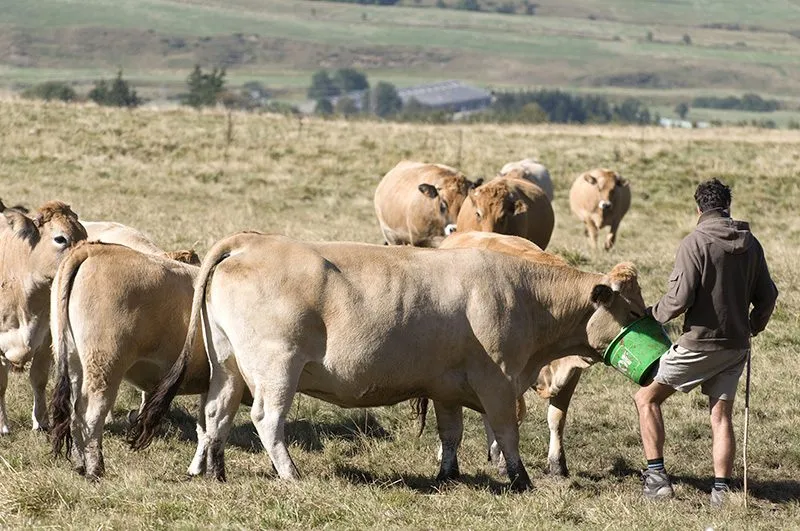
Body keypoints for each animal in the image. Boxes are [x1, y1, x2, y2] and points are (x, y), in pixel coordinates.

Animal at [0, 199, 87, 435]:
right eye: (60, 238)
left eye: (84, 234)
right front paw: (2, 425)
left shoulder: (47, 336)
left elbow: (38, 378)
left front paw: (40, 421)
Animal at [48, 242, 214, 479]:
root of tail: (91, 249)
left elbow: (206, 427)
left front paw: (198, 468)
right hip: (105, 365)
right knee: (90, 415)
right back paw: (95, 469)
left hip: (73, 360)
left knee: (73, 413)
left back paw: (80, 465)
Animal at [129, 232, 646, 491]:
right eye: (637, 313)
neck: (523, 294)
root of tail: (249, 243)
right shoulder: (499, 382)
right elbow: (506, 433)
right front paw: (521, 480)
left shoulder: (446, 386)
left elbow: (451, 433)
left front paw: (448, 475)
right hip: (277, 368)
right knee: (266, 419)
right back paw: (290, 474)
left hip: (229, 364)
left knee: (216, 413)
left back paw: (213, 470)